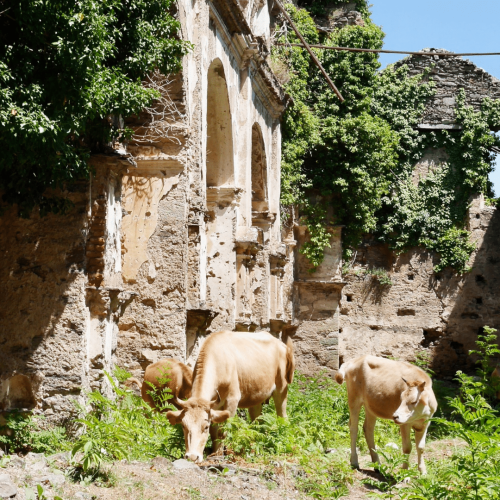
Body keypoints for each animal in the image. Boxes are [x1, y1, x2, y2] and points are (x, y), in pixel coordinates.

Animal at [166, 330, 294, 462]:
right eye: (183, 426)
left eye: (205, 427)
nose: (192, 457)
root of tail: (281, 344)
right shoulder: (214, 407)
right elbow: (215, 433)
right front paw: (215, 453)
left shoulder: (232, 400)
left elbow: (223, 431)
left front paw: (222, 454)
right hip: (256, 397)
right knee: (258, 422)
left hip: (281, 388)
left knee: (283, 416)